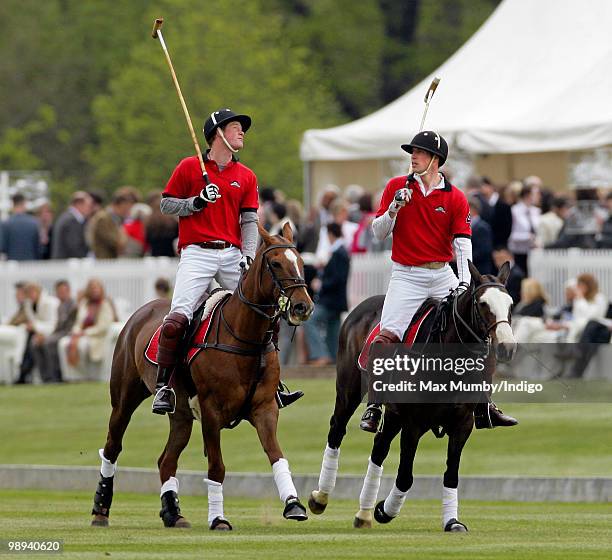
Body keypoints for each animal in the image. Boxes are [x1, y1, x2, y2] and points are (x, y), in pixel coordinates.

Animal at [91, 223, 316, 528]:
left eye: (301, 262)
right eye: (276, 263)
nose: (303, 307)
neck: (246, 338)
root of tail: (143, 309)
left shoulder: (265, 408)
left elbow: (277, 456)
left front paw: (293, 504)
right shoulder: (211, 411)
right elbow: (217, 466)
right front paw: (218, 518)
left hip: (181, 415)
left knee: (166, 459)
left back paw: (173, 513)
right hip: (124, 399)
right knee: (112, 447)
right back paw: (100, 509)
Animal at [306, 260, 516, 532]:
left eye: (510, 303)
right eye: (482, 304)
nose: (507, 347)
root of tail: (361, 306)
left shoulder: (462, 424)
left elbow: (451, 474)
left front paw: (452, 521)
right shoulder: (413, 424)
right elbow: (405, 476)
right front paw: (384, 511)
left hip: (394, 414)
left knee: (379, 447)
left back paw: (363, 513)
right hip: (349, 392)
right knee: (337, 430)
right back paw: (321, 497)